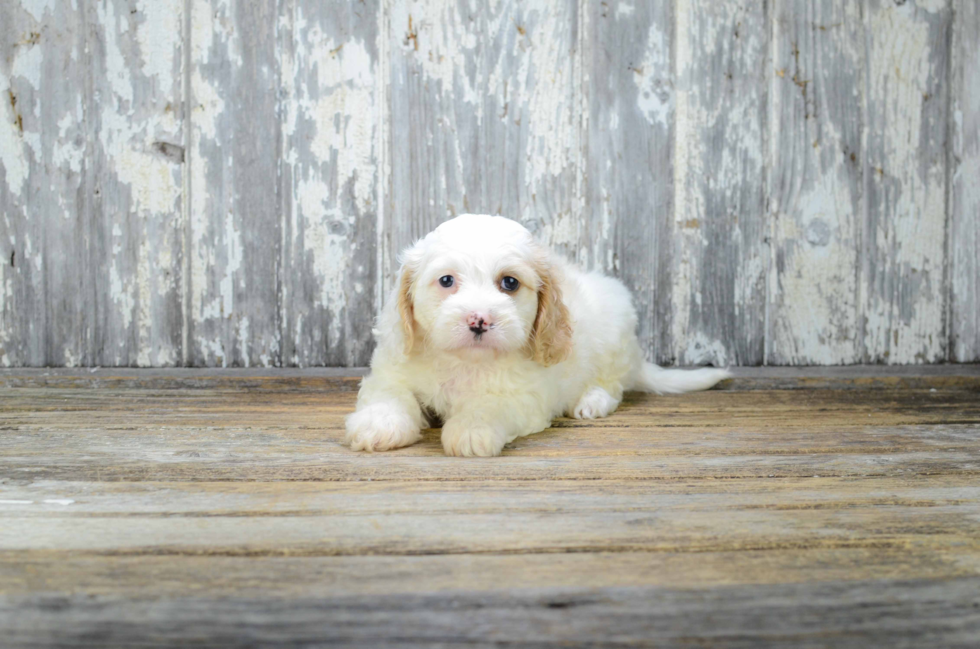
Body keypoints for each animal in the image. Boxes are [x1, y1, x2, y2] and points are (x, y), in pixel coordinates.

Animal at [344, 214, 728, 456]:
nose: (479, 320)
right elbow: (391, 395)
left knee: (614, 384)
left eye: (510, 283)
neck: (465, 362)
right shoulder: (393, 370)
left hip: (615, 334)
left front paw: (471, 429)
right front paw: (379, 425)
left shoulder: (525, 397)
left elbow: (490, 405)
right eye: (446, 280)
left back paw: (592, 401)